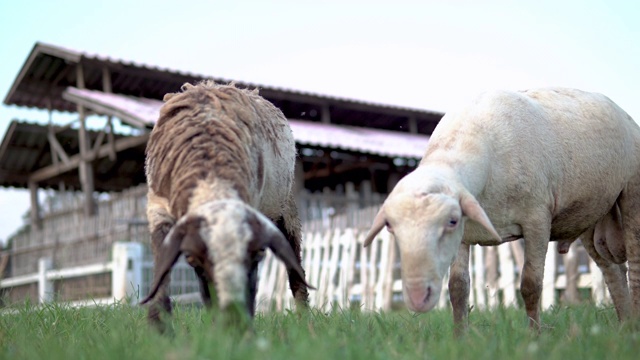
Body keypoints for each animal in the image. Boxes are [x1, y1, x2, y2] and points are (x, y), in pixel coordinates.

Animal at [362, 87, 640, 332]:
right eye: (391, 226)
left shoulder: (537, 219)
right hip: (591, 214)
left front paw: (534, 337)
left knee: (634, 258)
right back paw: (625, 324)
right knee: (613, 270)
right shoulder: (466, 234)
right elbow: (457, 288)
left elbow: (530, 284)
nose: (419, 297)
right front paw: (460, 339)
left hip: (631, 189)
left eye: (451, 221)